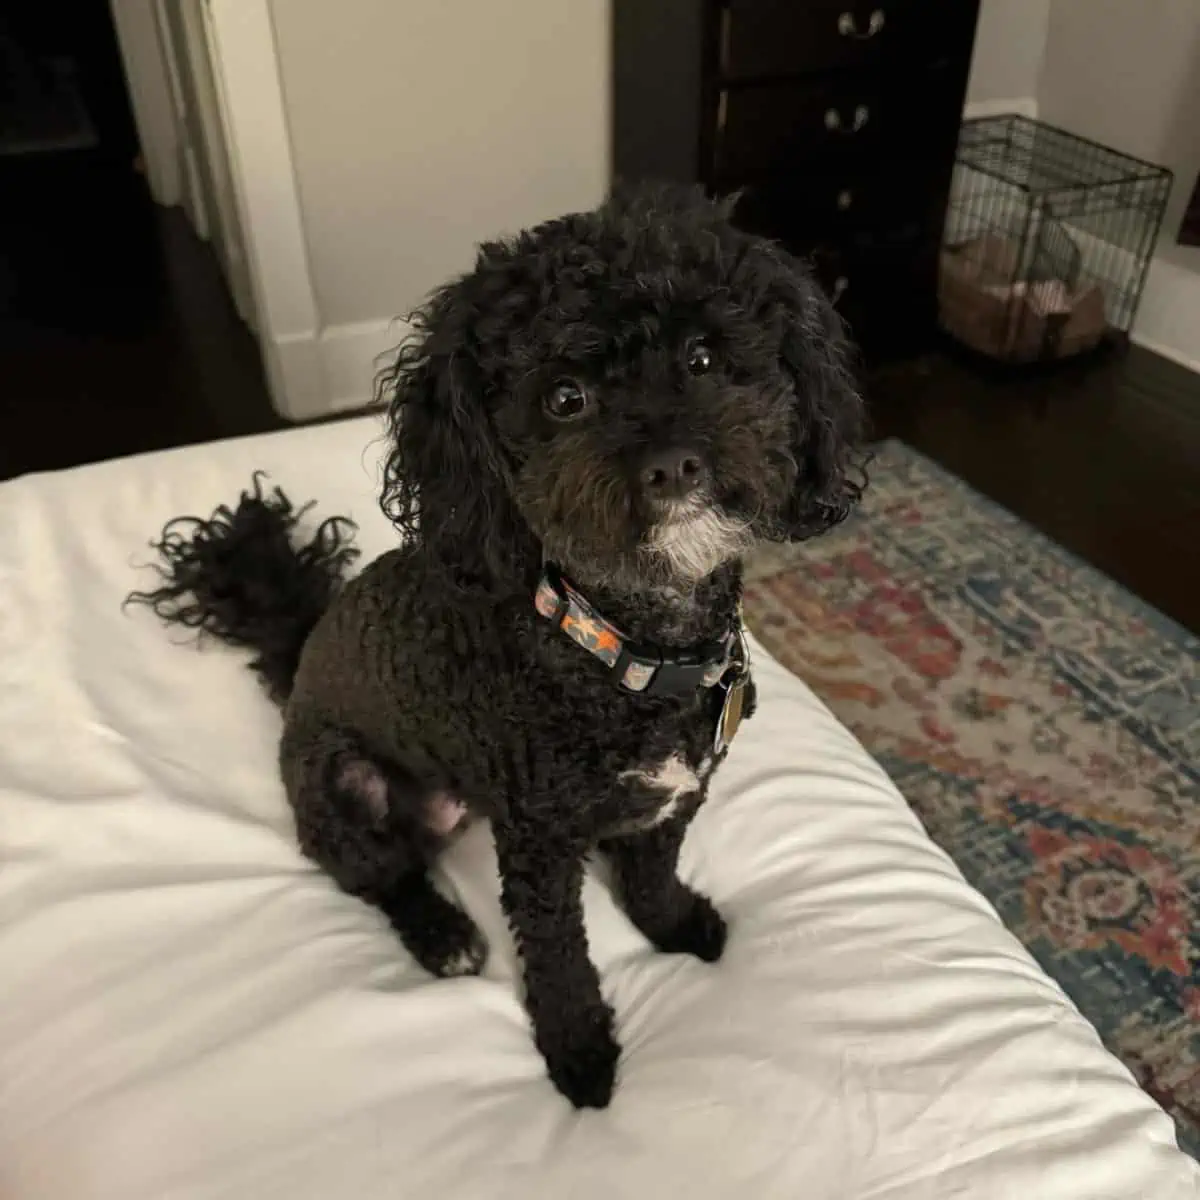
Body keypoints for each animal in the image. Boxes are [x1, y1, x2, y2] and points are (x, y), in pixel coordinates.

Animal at [130, 184, 866, 1109]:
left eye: (703, 357)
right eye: (564, 399)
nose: (672, 464)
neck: (627, 654)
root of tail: (300, 657)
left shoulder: (678, 796)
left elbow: (653, 870)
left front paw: (673, 925)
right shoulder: (539, 847)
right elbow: (557, 956)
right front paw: (579, 1050)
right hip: (340, 784)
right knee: (375, 874)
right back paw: (442, 933)